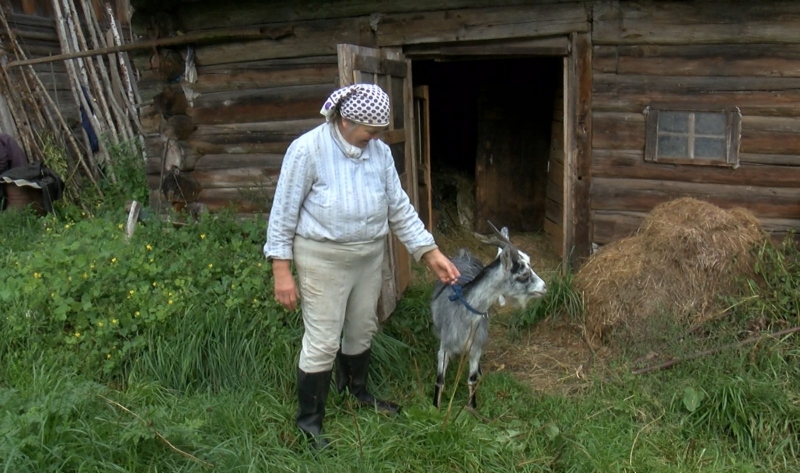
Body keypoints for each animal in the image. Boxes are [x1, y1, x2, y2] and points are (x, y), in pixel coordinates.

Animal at [432, 223, 544, 408]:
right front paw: (436, 407)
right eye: (524, 274)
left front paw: (472, 407)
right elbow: (440, 379)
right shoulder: (445, 346)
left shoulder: (476, 346)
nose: (544, 287)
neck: (465, 316)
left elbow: (472, 379)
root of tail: (464, 255)